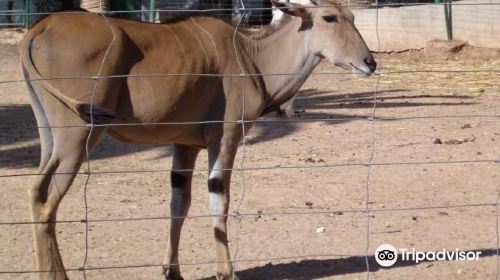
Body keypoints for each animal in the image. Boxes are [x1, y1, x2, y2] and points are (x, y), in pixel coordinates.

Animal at [20, 0, 376, 278]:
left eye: (353, 17)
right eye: (329, 17)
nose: (369, 62)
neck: (251, 57)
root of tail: (40, 27)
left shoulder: (186, 145)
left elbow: (179, 204)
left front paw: (172, 271)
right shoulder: (225, 137)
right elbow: (219, 200)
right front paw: (226, 271)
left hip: (50, 138)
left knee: (37, 192)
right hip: (78, 138)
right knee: (48, 204)